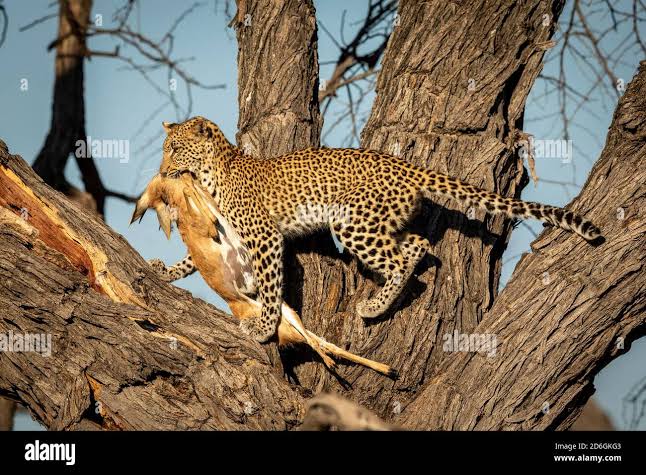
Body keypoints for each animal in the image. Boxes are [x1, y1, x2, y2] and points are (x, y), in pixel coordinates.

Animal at [149, 116, 601, 343]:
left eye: (174, 149)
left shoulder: (264, 236)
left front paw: (264, 327)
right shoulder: (226, 232)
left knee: (402, 261)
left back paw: (374, 306)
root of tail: (405, 164)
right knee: (417, 243)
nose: (162, 172)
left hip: (352, 221)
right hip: (380, 221)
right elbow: (192, 258)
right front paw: (163, 272)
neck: (213, 172)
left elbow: (270, 284)